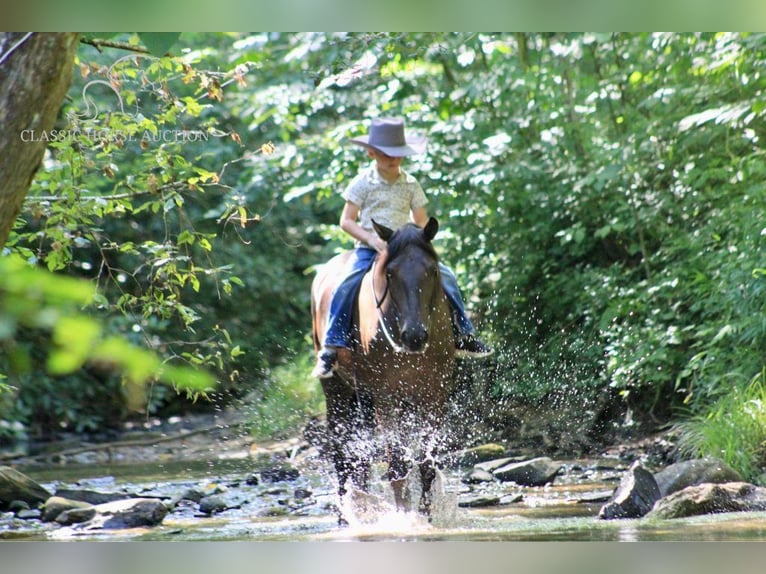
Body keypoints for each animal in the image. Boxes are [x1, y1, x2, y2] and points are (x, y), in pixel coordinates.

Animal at [312, 218, 456, 524]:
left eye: (433, 270)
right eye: (390, 273)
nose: (414, 336)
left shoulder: (434, 395)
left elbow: (426, 463)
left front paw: (425, 515)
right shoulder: (386, 397)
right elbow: (397, 463)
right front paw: (403, 518)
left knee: (361, 460)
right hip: (338, 390)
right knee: (342, 453)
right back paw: (345, 517)